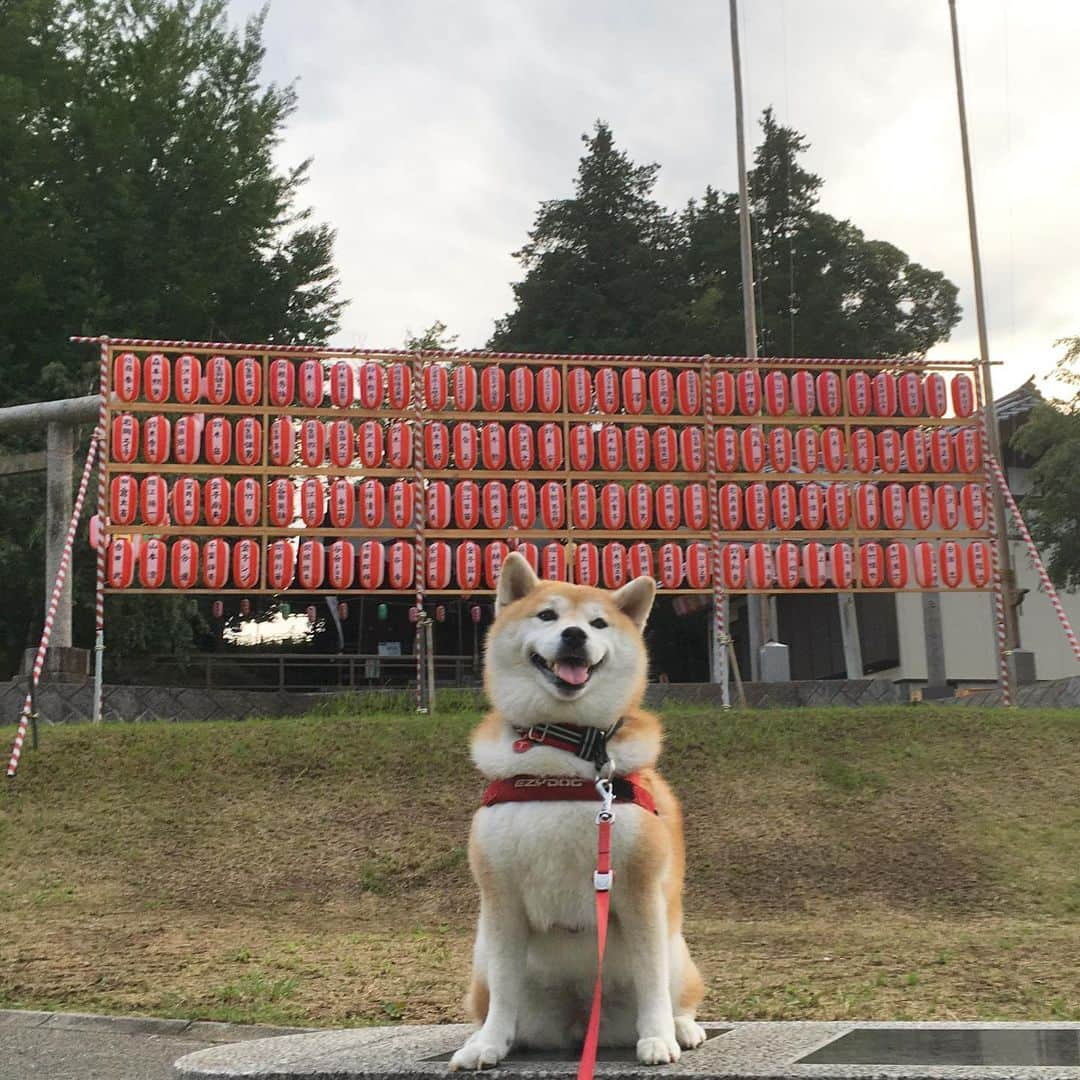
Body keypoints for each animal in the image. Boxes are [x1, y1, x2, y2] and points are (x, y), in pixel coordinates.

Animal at [449, 557, 708, 1071]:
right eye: (547, 616)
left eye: (598, 624)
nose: (574, 635)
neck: (565, 753)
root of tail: (579, 1020)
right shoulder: (501, 898)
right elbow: (504, 991)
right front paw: (489, 1045)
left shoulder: (641, 890)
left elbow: (652, 980)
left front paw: (658, 1038)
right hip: (481, 959)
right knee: (493, 1001)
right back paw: (482, 1038)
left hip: (678, 948)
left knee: (678, 993)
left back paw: (682, 1028)